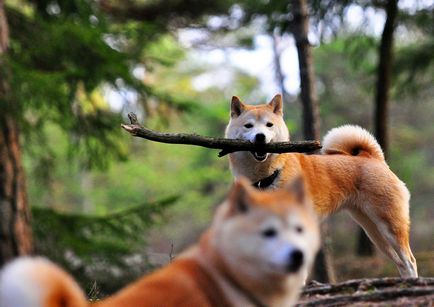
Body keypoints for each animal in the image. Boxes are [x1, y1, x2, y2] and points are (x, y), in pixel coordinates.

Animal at [224, 94, 418, 280]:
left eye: (269, 125)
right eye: (248, 126)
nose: (260, 136)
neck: (266, 177)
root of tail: (372, 158)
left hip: (389, 226)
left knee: (410, 261)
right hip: (373, 231)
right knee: (400, 263)